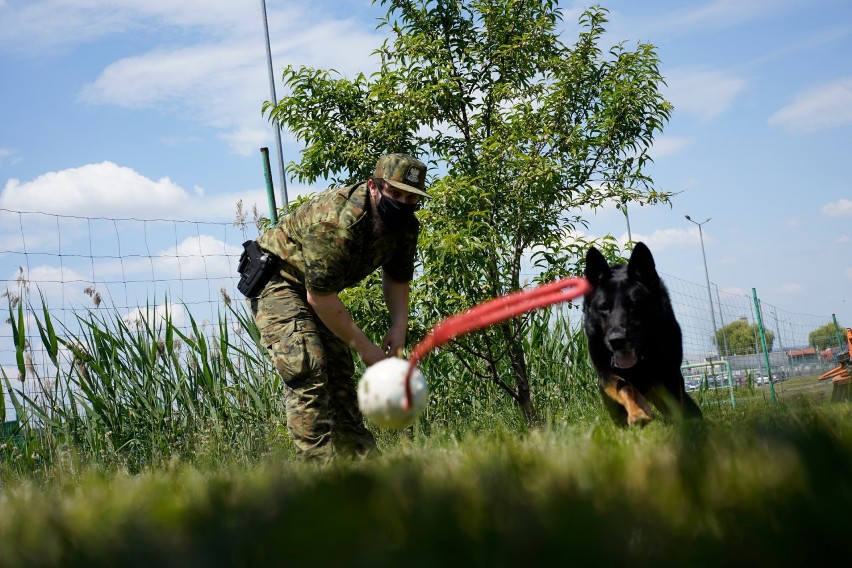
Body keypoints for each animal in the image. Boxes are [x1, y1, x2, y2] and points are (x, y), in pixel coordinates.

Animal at [584, 243, 704, 426]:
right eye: (604, 307)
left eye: (633, 304)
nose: (616, 340)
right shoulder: (606, 374)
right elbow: (625, 387)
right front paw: (637, 413)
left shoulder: (670, 373)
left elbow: (675, 406)